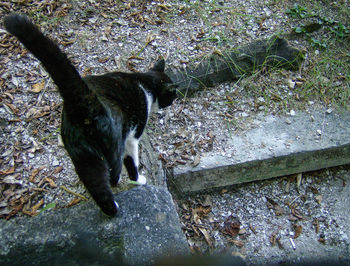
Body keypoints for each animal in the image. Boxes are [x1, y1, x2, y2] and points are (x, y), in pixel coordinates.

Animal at [4, 13, 176, 215]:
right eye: (172, 95)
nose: (173, 101)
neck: (145, 82)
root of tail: (83, 99)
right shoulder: (132, 137)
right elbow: (132, 161)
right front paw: (138, 180)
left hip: (82, 153)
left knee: (95, 182)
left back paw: (111, 209)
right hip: (113, 143)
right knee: (113, 172)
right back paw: (117, 190)